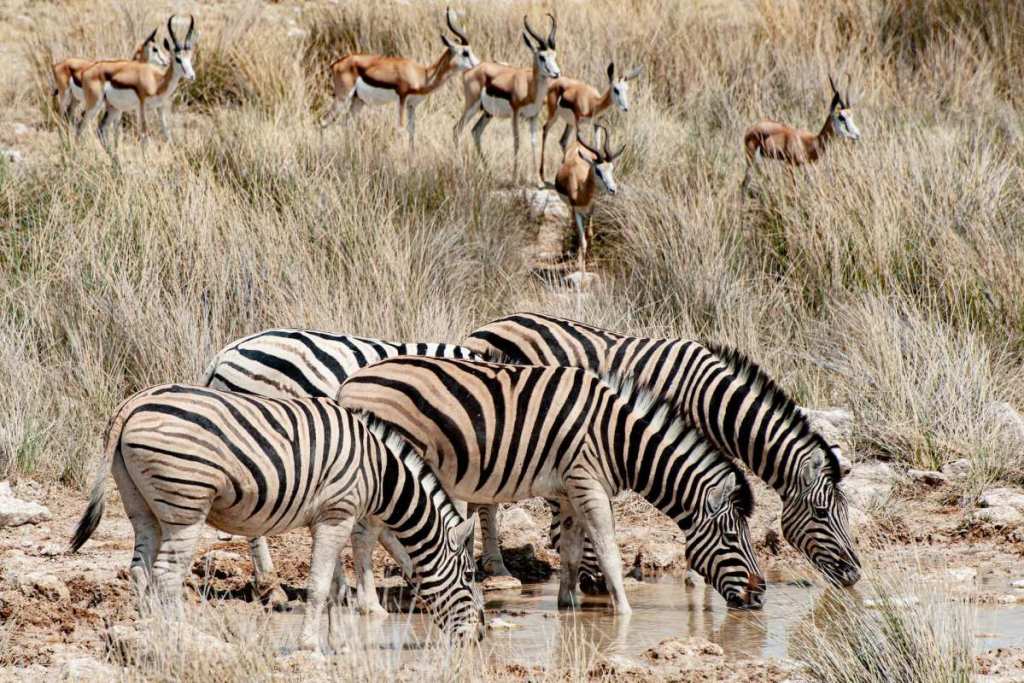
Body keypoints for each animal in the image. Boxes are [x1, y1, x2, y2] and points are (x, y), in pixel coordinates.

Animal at [68, 383, 484, 651]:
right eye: (468, 575)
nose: (478, 637)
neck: (380, 473)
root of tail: (134, 401)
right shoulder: (339, 514)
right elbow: (319, 587)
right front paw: (310, 645)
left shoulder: (329, 518)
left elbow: (336, 588)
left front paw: (339, 643)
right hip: (185, 505)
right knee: (166, 576)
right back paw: (180, 638)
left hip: (141, 507)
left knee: (139, 571)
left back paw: (148, 634)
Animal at [337, 356, 766, 612]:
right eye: (732, 538)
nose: (760, 595)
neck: (620, 439)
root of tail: (351, 380)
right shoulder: (588, 482)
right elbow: (608, 550)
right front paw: (624, 613)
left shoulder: (570, 489)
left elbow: (574, 552)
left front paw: (569, 604)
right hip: (390, 469)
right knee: (364, 536)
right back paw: (370, 607)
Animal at [464, 312, 861, 589]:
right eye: (823, 513)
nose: (855, 575)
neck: (711, 400)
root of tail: (490, 323)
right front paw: (696, 577)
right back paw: (498, 567)